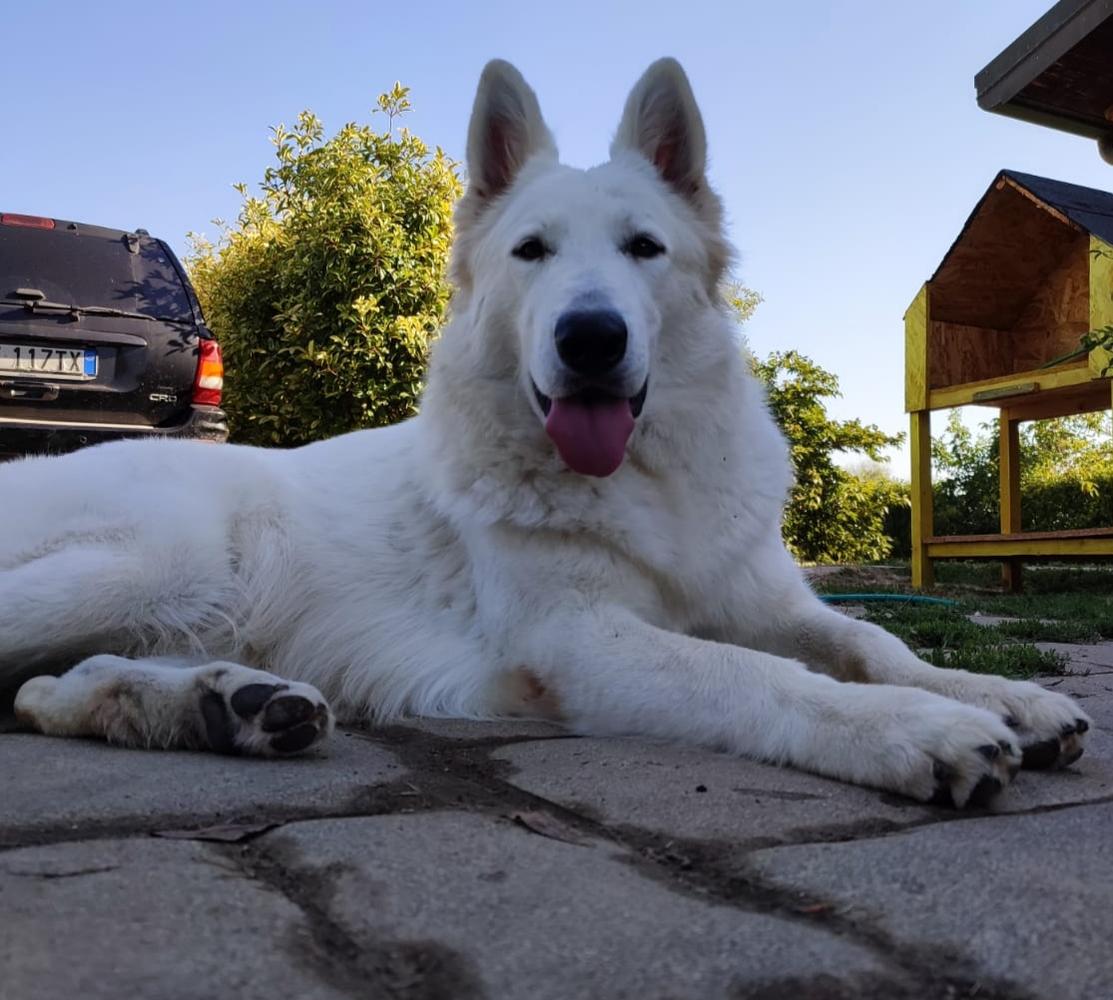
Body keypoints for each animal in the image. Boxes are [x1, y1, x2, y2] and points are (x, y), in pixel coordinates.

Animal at [4, 58, 1090, 806]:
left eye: (644, 248)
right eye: (532, 252)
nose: (591, 337)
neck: (647, 485)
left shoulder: (762, 596)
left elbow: (868, 639)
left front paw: (996, 692)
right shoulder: (585, 645)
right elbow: (761, 674)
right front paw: (915, 728)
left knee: (46, 687)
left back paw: (223, 706)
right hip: (157, 562)